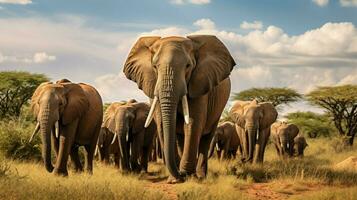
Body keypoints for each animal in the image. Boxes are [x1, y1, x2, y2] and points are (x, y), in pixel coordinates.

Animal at [122, 35, 234, 182]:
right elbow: (162, 125)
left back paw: (200, 176)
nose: (181, 174)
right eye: (155, 66)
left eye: (188, 66)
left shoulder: (200, 85)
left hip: (218, 108)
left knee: (206, 137)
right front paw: (175, 180)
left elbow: (193, 123)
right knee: (181, 138)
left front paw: (186, 175)